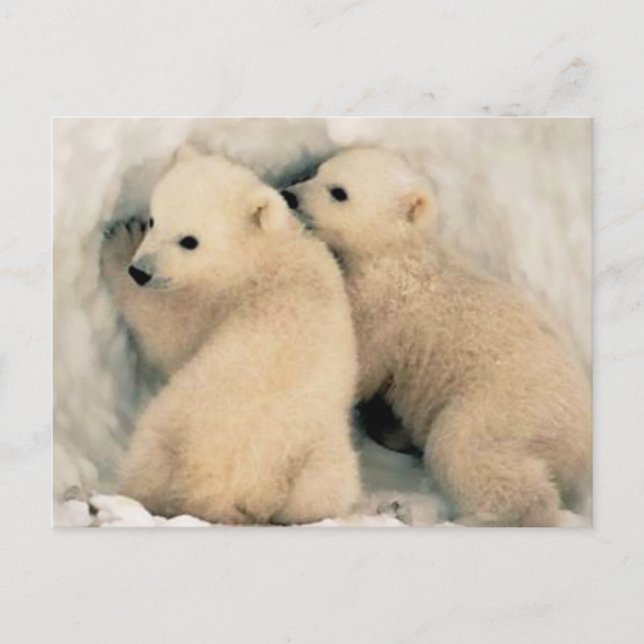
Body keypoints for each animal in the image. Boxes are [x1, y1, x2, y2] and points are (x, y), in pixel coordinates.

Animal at [100, 146, 361, 525]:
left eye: (189, 241)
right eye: (155, 219)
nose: (140, 271)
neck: (261, 254)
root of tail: (223, 488)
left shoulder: (215, 301)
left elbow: (169, 334)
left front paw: (119, 241)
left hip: (177, 422)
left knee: (146, 457)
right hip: (317, 461)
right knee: (323, 492)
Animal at [283, 147, 592, 527]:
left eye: (339, 191)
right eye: (316, 171)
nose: (290, 195)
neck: (399, 254)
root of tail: (580, 441)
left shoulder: (385, 308)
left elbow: (358, 361)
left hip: (508, 406)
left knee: (464, 448)